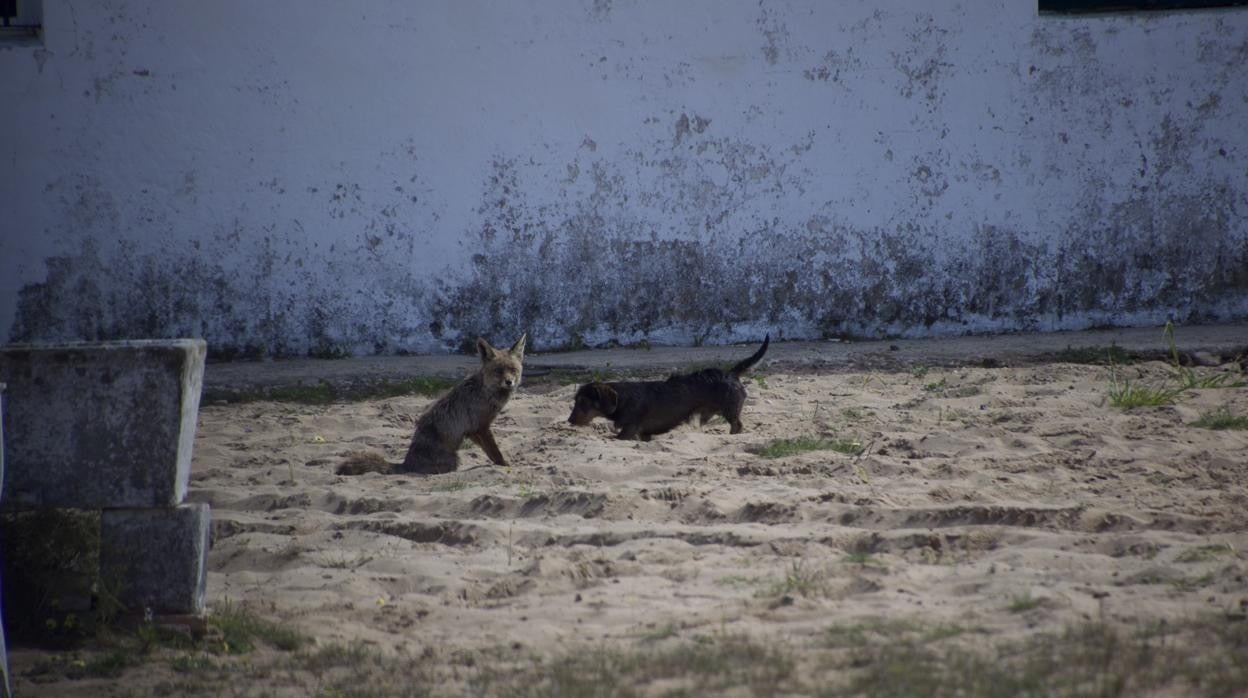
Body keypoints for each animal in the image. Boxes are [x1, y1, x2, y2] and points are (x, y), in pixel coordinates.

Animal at [334, 332, 524, 474]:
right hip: (454, 459)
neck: (485, 392)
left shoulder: (474, 431)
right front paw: (505, 465)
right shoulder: (480, 427)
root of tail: (407, 463)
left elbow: (491, 453)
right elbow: (495, 452)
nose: (509, 382)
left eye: (513, 370)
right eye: (498, 371)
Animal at [569, 337, 768, 439]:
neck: (624, 399)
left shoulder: (629, 431)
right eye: (575, 401)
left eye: (583, 402)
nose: (569, 421)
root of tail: (731, 373)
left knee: (737, 425)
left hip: (730, 409)